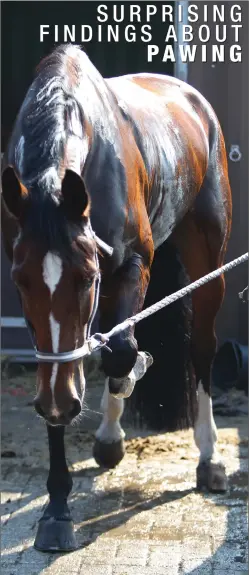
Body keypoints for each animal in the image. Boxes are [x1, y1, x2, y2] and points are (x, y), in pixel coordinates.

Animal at [1, 46, 231, 552]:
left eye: (86, 278)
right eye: (20, 282)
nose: (60, 405)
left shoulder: (129, 266)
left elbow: (121, 352)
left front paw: (131, 374)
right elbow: (72, 363)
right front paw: (57, 510)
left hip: (208, 259)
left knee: (201, 348)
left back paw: (208, 458)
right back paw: (108, 436)